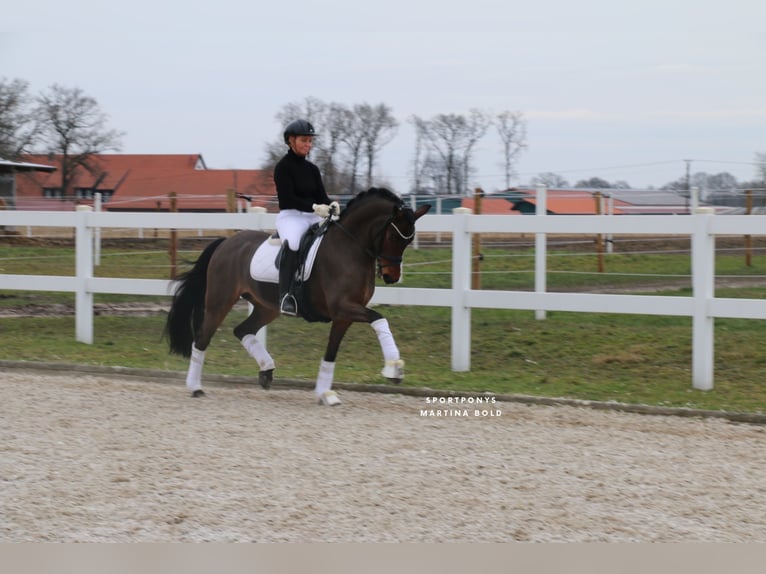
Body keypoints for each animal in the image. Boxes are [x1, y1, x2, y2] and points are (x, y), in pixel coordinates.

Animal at [164, 188, 432, 404]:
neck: (351, 247)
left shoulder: (343, 315)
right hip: (220, 301)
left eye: (408, 240)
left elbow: (331, 352)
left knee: (242, 330)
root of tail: (226, 243)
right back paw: (195, 387)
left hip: (266, 307)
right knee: (201, 339)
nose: (391, 276)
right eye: (393, 236)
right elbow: (380, 318)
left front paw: (325, 393)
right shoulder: (344, 307)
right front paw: (393, 369)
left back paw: (266, 371)